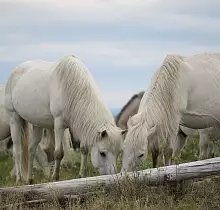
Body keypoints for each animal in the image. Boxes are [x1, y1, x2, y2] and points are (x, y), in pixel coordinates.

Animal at [5, 54, 125, 184]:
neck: (71, 85)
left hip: (37, 124)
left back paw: (29, 179)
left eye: (119, 152)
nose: (112, 176)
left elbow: (83, 149)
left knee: (31, 149)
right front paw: (55, 177)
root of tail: (14, 72)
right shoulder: (58, 124)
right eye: (102, 153)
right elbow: (58, 153)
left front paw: (81, 175)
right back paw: (19, 180)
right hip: (14, 119)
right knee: (17, 151)